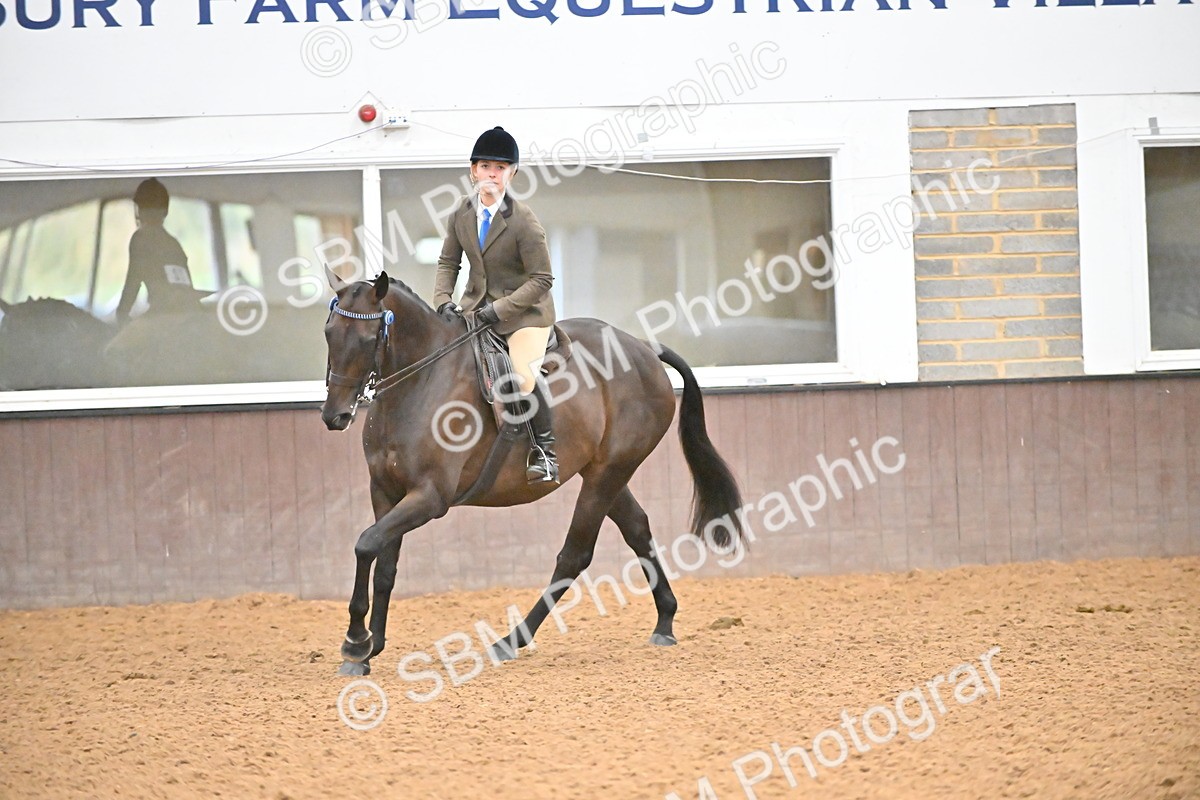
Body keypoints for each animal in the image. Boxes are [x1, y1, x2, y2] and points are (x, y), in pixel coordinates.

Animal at [321, 270, 745, 677]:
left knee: (574, 556)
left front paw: (355, 642)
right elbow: (384, 564)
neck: (420, 384)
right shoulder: (385, 491)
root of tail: (643, 348)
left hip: (608, 473)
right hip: (603, 473)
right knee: (638, 529)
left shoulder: (429, 497)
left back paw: (511, 640)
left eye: (366, 339)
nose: (334, 416)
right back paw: (665, 622)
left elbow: (365, 544)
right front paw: (371, 647)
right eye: (328, 333)